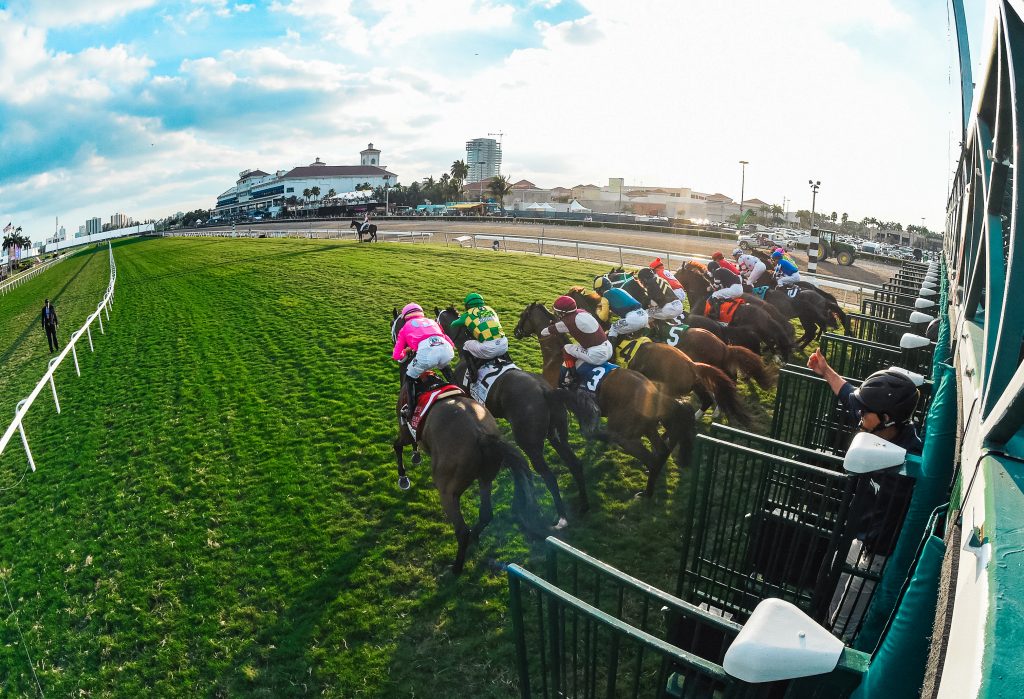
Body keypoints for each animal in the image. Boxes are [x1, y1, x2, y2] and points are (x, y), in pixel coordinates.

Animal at [387, 311, 540, 573]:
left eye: (393, 326)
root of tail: (483, 436)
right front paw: (416, 456)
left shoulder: (405, 429)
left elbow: (397, 446)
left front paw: (403, 477)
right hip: (485, 477)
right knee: (486, 515)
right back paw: (477, 537)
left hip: (448, 490)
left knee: (462, 530)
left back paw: (455, 567)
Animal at [436, 307, 589, 519]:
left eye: (438, 322)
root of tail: (546, 391)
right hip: (557, 435)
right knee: (575, 464)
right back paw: (583, 505)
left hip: (530, 444)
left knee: (549, 477)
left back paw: (560, 517)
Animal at [512, 302, 696, 497]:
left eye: (523, 315)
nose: (516, 331)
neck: (554, 357)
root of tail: (655, 394)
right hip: (648, 427)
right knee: (661, 452)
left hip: (626, 436)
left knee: (650, 458)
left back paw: (646, 493)